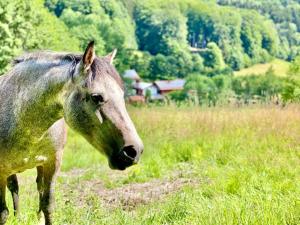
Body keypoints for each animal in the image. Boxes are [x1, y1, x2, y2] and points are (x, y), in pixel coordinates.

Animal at [0, 41, 144, 224]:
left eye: (121, 95)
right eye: (96, 97)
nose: (134, 151)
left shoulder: (52, 163)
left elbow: (47, 205)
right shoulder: (1, 171)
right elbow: (2, 213)